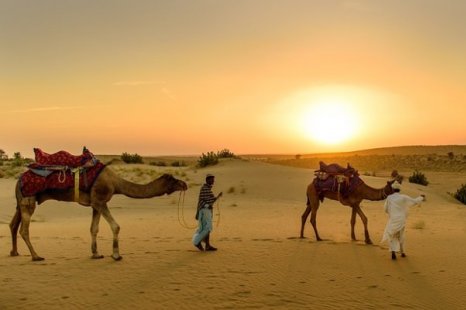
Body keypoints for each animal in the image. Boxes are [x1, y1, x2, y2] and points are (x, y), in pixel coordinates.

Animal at [9, 167, 187, 262]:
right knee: (24, 229)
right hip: (28, 200)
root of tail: (18, 180)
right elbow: (116, 226)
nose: (185, 184)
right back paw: (36, 256)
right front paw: (116, 255)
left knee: (13, 225)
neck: (116, 183)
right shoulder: (100, 201)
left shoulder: (96, 203)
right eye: (173, 180)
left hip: (20, 202)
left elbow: (94, 228)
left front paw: (96, 254)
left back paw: (14, 252)